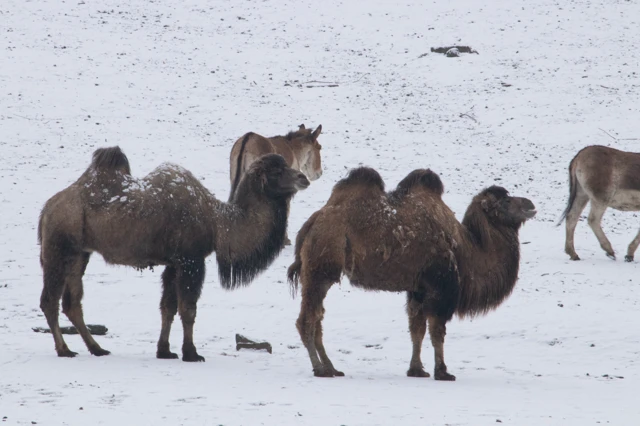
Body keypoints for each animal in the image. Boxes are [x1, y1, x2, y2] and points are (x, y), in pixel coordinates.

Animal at [38, 146, 308, 360]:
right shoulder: (191, 260)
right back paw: (64, 350)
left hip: (79, 253)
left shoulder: (173, 263)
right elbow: (188, 309)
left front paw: (165, 351)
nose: (303, 177)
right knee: (49, 301)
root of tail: (47, 208)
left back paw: (97, 348)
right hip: (58, 247)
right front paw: (191, 353)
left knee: (72, 302)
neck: (218, 222)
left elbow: (167, 308)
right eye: (276, 172)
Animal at [288, 166, 536, 380]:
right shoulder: (440, 287)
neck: (466, 248)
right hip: (320, 270)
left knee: (317, 316)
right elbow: (436, 330)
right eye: (506, 201)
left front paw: (417, 370)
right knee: (306, 319)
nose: (531, 204)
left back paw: (332, 368)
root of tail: (311, 223)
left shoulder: (418, 288)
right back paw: (320, 369)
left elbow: (417, 329)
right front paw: (443, 372)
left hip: (319, 272)